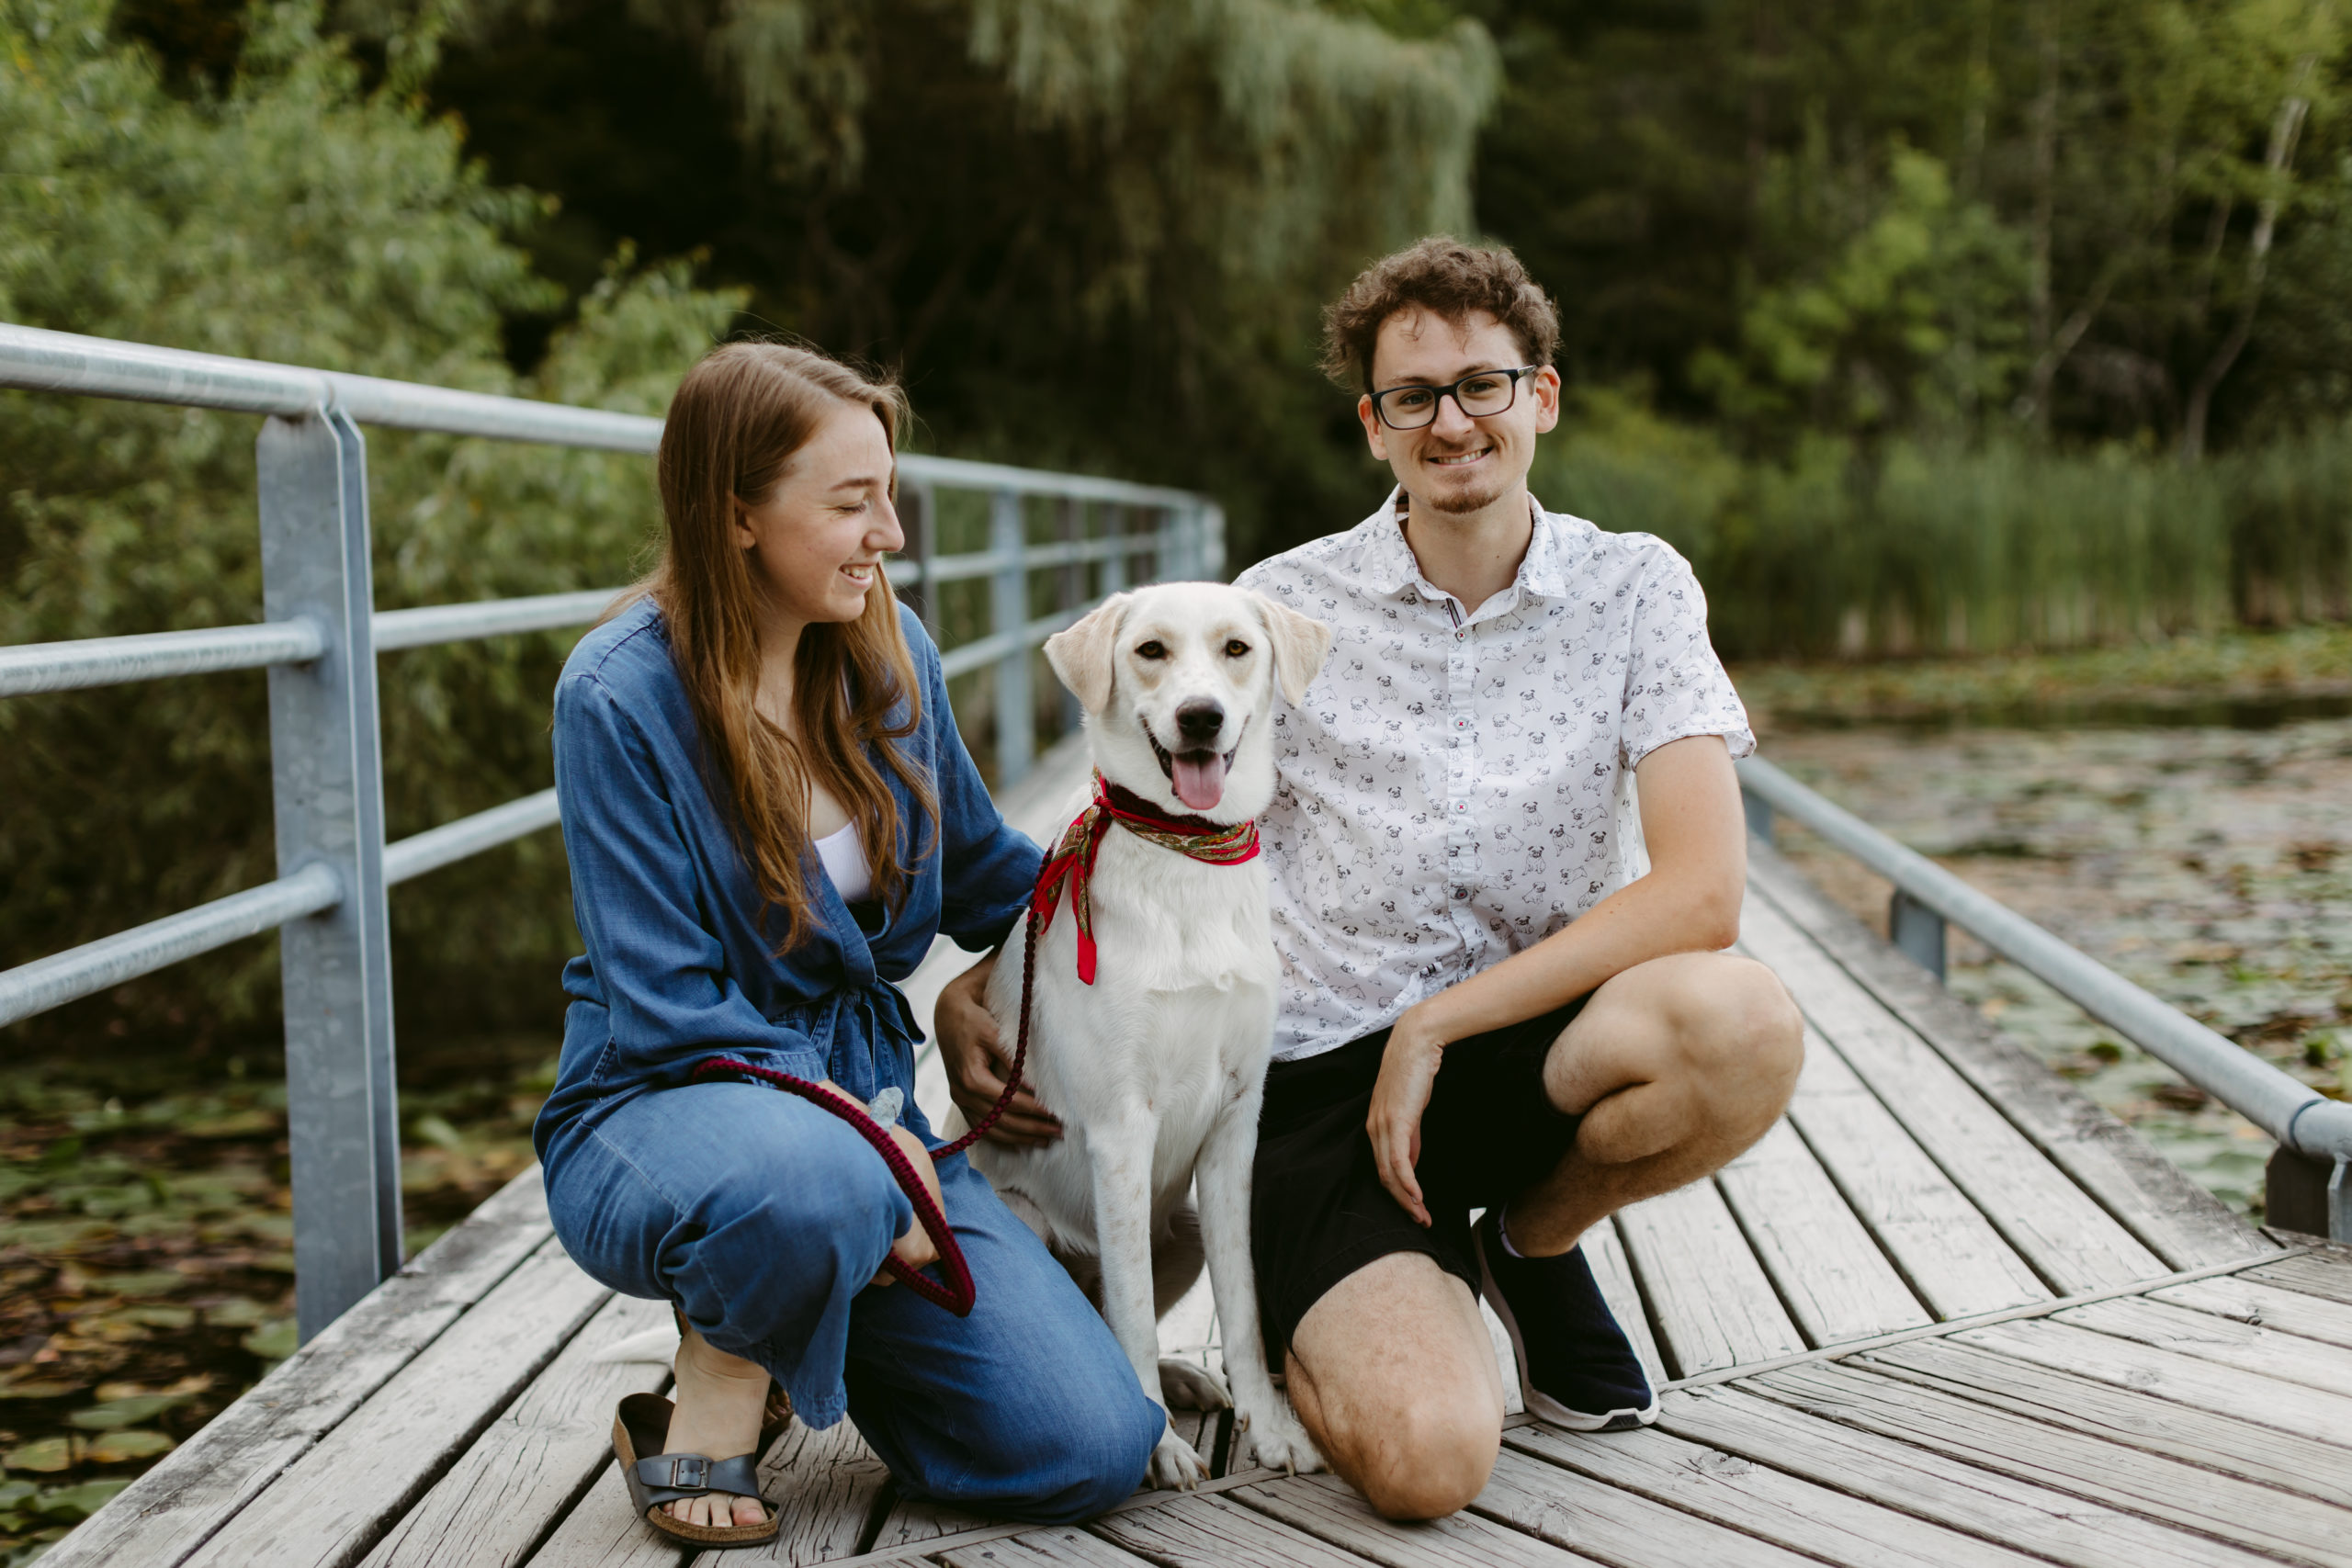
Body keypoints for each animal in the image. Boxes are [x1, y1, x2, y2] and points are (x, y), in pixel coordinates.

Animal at [964, 582, 1336, 1495]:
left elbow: (1242, 1306)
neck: (1186, 859)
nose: (1201, 717)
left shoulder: (1237, 1123)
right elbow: (1129, 1310)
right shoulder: (1120, 1130)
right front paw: (1159, 1445)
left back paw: (1186, 1381)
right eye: (1151, 651)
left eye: (1237, 648)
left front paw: (1271, 1427)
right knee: (1100, 1311)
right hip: (1028, 1222)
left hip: (1189, 1226)